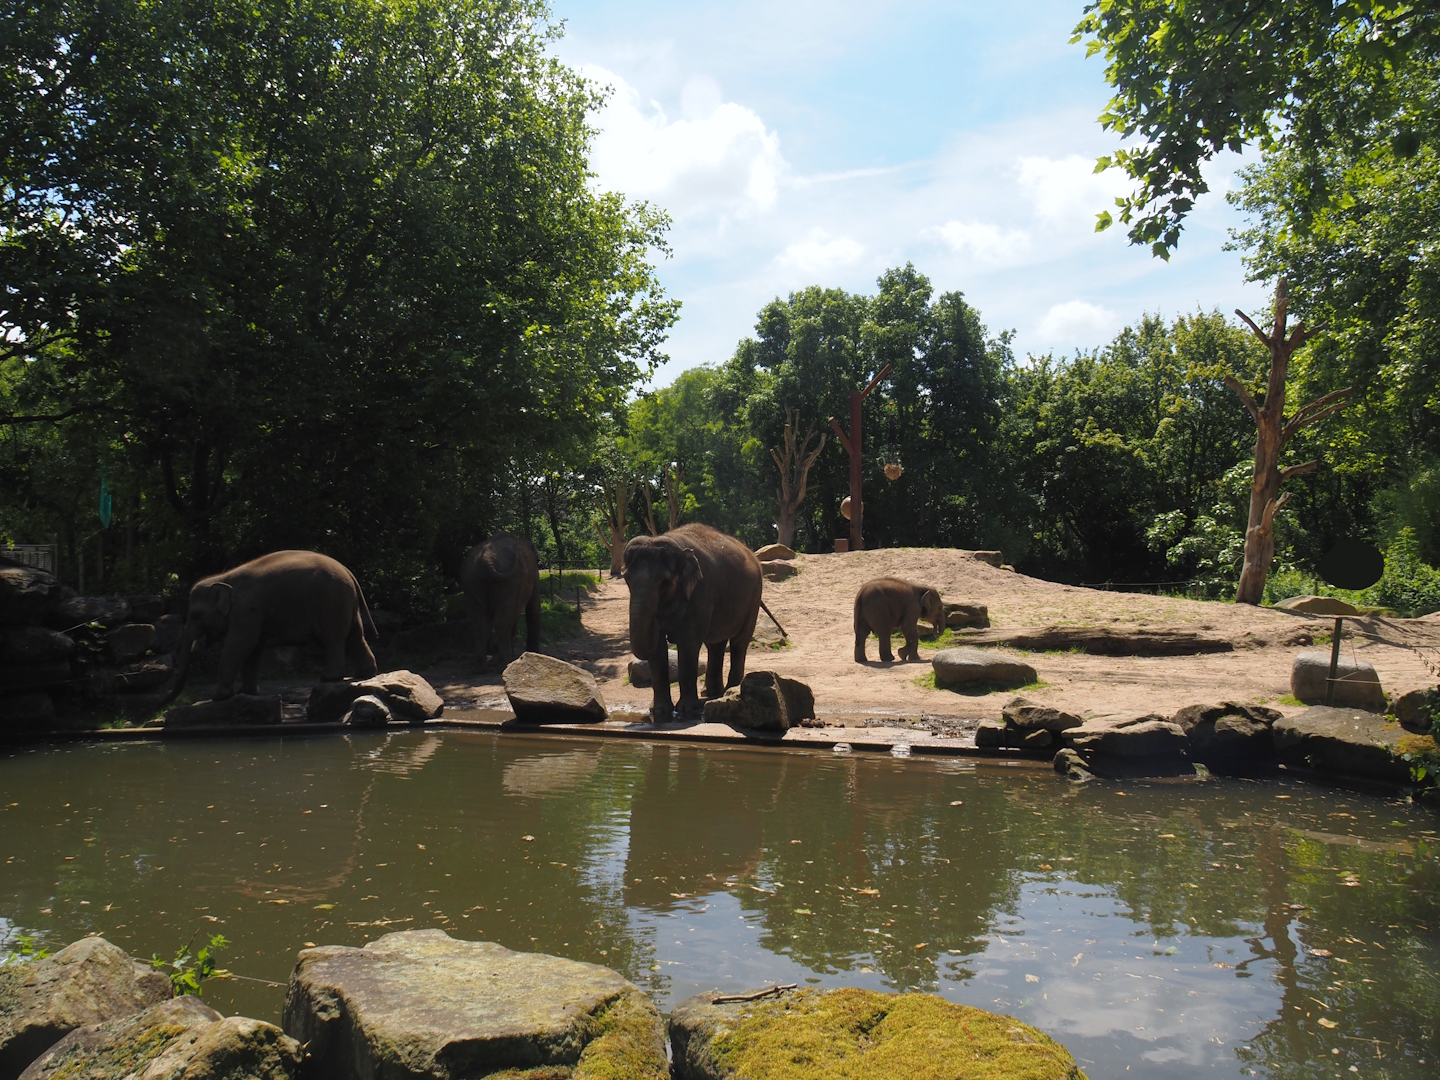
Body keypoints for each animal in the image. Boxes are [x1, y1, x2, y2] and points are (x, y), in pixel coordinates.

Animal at [165, 550, 377, 701]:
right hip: (344, 600)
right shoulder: (253, 613)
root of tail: (348, 572)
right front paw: (247, 692)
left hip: (331, 601)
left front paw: (219, 697)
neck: (223, 578)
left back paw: (329, 678)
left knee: (332, 639)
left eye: (195, 615)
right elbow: (254, 647)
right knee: (355, 636)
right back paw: (363, 674)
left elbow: (241, 644)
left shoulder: (247, 609)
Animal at [460, 533, 541, 671]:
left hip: (471, 582)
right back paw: (503, 664)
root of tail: (485, 561)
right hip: (508, 583)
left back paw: (480, 668)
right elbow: (533, 608)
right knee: (501, 621)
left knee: (480, 624)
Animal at [623, 523, 763, 722]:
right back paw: (711, 693)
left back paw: (730, 691)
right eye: (627, 579)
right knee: (715, 644)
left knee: (739, 642)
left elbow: (688, 641)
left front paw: (687, 710)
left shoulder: (701, 591)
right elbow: (658, 648)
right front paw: (659, 712)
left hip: (754, 597)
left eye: (665, 582)